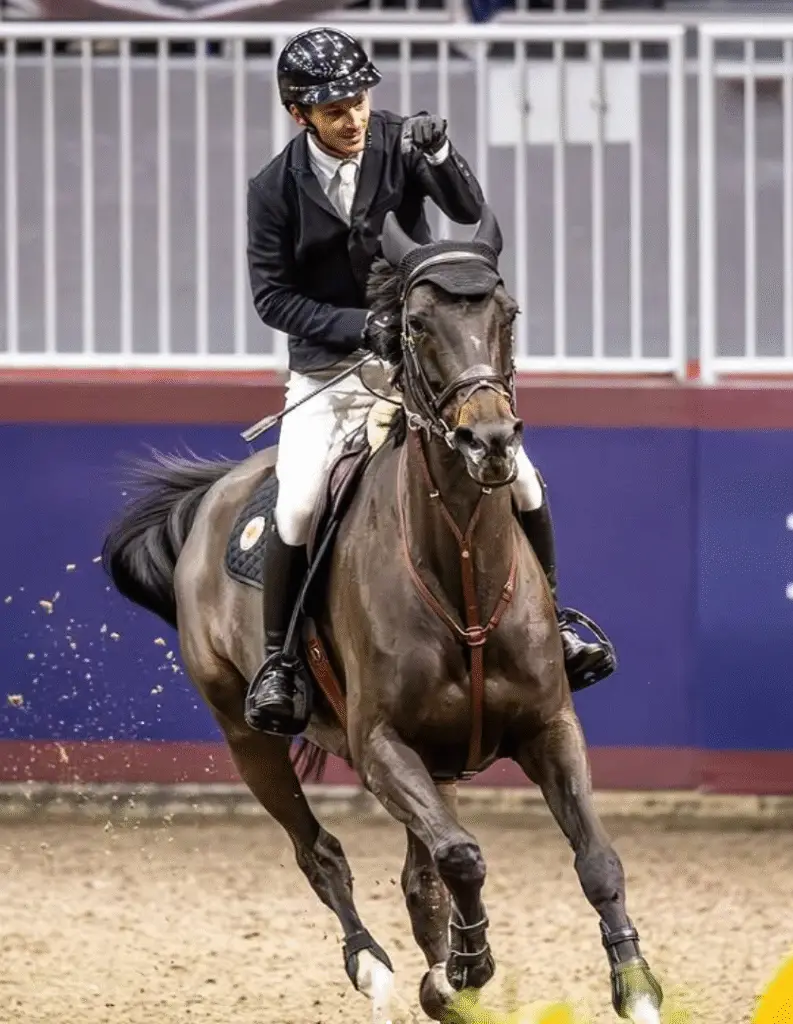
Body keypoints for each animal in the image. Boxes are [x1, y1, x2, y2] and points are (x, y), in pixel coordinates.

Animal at [102, 206, 664, 1024]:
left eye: (507, 314)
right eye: (417, 323)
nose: (490, 441)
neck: (460, 563)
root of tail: (211, 497)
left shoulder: (547, 725)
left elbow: (593, 856)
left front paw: (634, 982)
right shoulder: (381, 747)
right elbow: (462, 854)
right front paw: (466, 966)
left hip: (439, 761)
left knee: (418, 875)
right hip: (247, 736)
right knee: (321, 852)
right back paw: (376, 967)